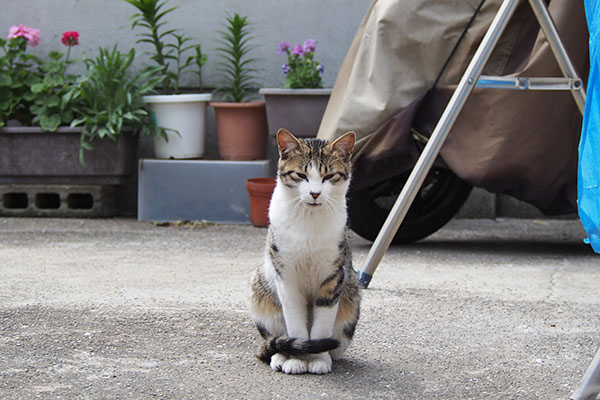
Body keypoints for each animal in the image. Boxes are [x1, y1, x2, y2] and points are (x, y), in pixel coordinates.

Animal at [250, 129, 360, 376]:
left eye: (329, 176)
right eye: (301, 175)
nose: (315, 194)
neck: (309, 221)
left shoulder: (333, 277)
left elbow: (321, 328)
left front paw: (317, 358)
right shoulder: (286, 277)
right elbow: (295, 324)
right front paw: (297, 360)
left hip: (351, 298)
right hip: (260, 291)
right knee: (276, 339)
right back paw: (281, 355)